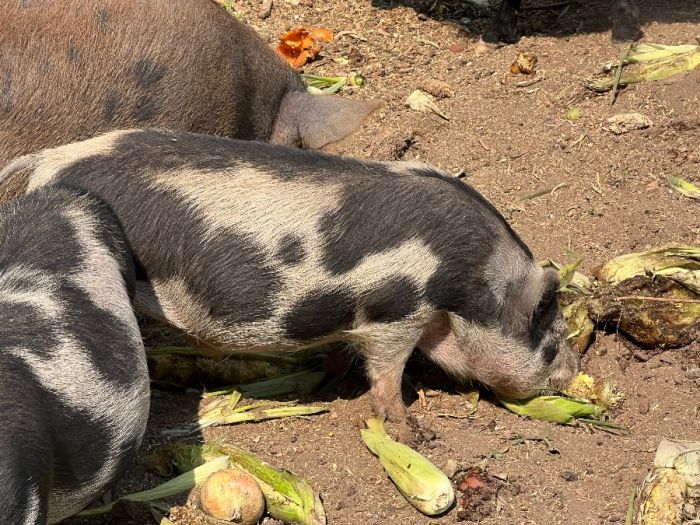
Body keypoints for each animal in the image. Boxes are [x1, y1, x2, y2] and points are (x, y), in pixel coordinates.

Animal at [0, 130, 580, 426]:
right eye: (550, 342)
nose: (575, 369)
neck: (466, 286)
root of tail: (52, 158)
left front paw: (331, 374)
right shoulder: (395, 311)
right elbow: (387, 372)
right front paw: (409, 430)